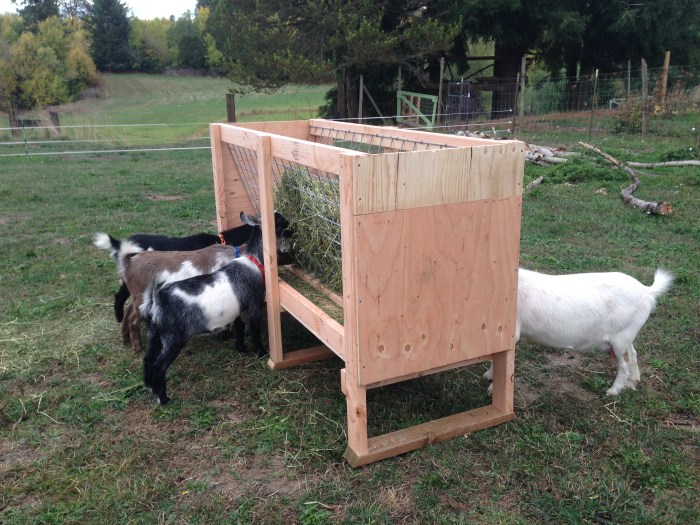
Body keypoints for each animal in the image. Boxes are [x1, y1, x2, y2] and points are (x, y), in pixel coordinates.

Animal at [139, 211, 288, 404]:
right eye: (278, 220)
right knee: (159, 366)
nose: (290, 224)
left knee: (148, 358)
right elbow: (254, 328)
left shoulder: (236, 310)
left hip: (154, 333)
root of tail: (157, 299)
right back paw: (163, 398)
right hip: (173, 338)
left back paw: (149, 386)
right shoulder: (254, 303)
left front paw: (241, 348)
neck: (253, 259)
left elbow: (239, 327)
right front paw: (261, 352)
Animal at [482, 268, 672, 396]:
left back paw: (613, 390)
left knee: (624, 364)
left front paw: (492, 387)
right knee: (632, 354)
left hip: (621, 337)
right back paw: (632, 383)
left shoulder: (511, 331)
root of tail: (646, 291)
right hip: (627, 334)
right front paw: (488, 376)